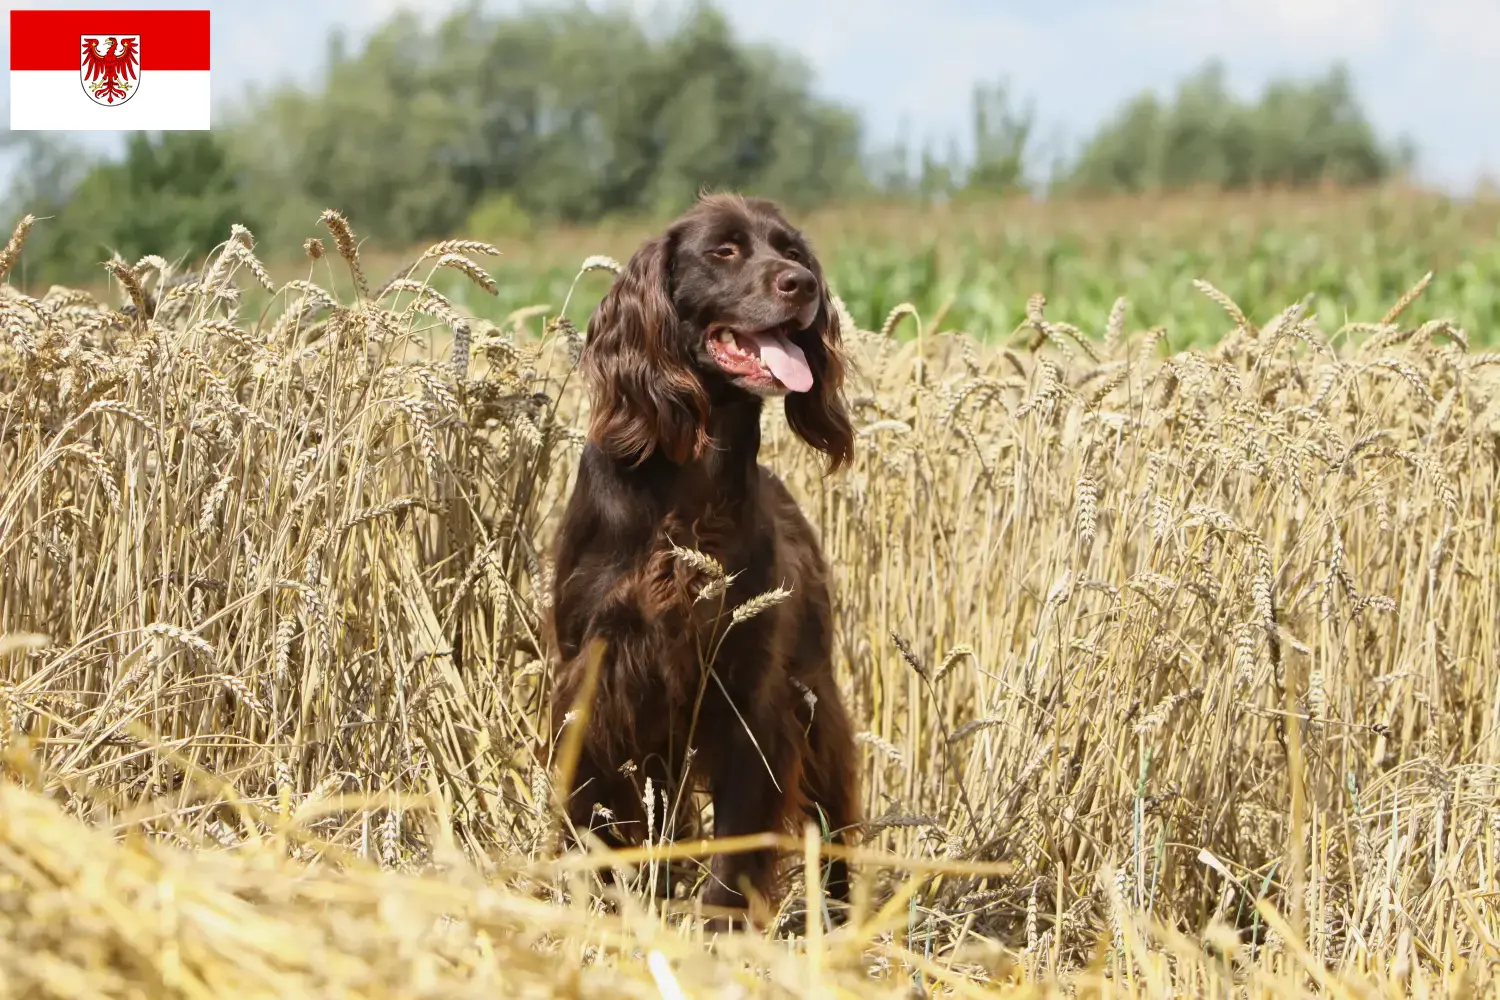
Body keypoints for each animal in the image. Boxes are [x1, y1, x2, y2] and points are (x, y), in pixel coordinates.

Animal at [549, 191, 858, 929]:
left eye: (792, 252)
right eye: (723, 251)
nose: (801, 286)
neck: (691, 481)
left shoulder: (750, 696)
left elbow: (738, 843)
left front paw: (721, 932)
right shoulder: (597, 675)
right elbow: (596, 816)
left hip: (815, 698)